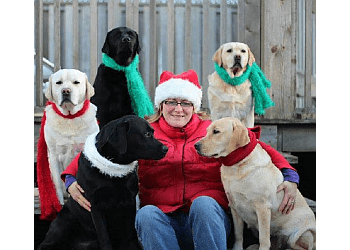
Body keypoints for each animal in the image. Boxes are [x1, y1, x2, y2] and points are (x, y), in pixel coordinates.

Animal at [38, 115, 168, 250]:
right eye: (147, 134)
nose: (166, 149)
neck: (114, 171)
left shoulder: (130, 202)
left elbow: (130, 235)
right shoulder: (95, 205)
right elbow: (104, 237)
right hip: (64, 223)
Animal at [44, 69, 98, 205]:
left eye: (76, 82)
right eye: (59, 82)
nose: (66, 91)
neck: (70, 117)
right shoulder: (54, 156)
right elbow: (58, 183)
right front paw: (59, 205)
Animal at [196, 117, 316, 250]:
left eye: (216, 131)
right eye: (207, 131)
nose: (196, 145)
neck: (237, 165)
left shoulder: (262, 207)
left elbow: (264, 238)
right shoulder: (234, 206)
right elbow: (238, 234)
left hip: (302, 233)